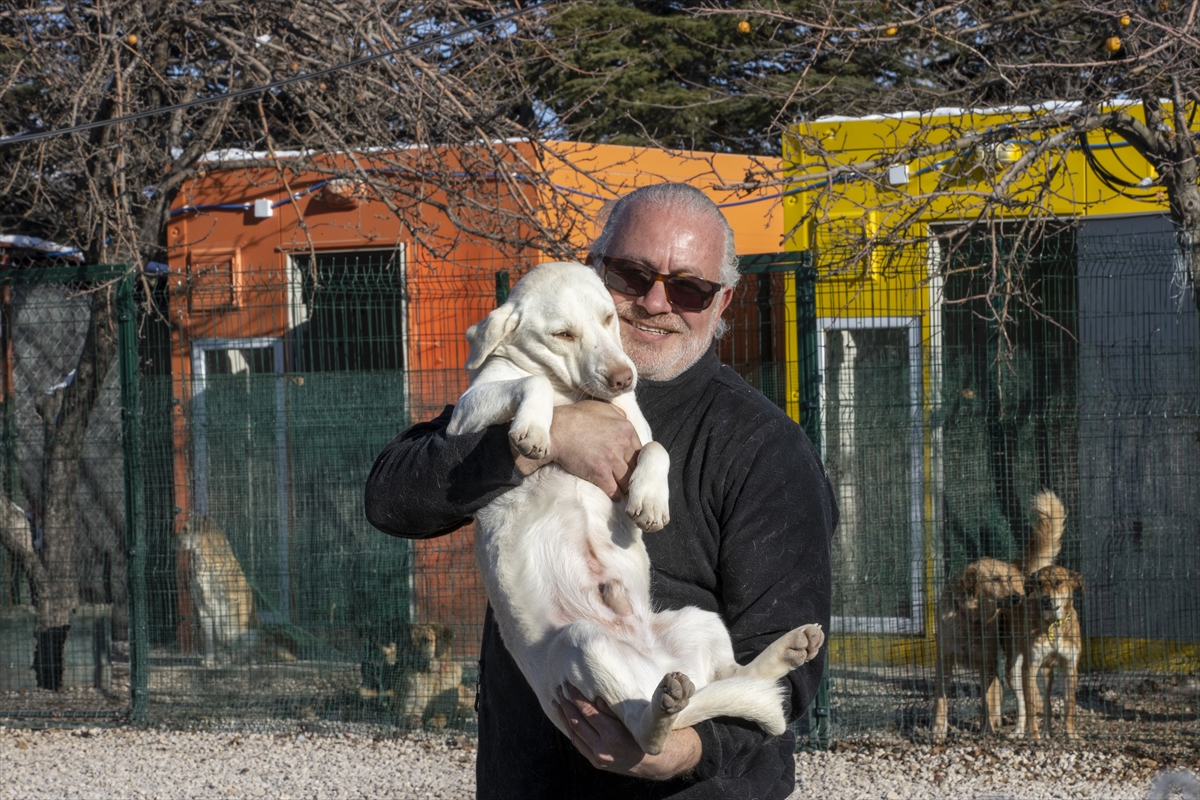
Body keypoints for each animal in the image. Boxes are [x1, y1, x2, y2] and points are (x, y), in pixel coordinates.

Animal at [931, 491, 1065, 743]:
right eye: (993, 580)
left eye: (1008, 580)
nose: (1016, 597)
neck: (971, 620)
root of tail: (1015, 565)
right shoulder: (944, 662)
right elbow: (941, 701)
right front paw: (938, 730)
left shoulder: (988, 663)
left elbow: (987, 701)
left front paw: (987, 730)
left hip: (1012, 664)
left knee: (1026, 695)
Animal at [1008, 566, 1084, 743]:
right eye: (1039, 583)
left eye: (1059, 582)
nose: (1045, 600)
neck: (1054, 625)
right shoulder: (1029, 668)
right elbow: (1030, 707)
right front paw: (1034, 736)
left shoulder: (1070, 669)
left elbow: (1070, 706)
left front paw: (1072, 735)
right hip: (1013, 672)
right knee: (1022, 703)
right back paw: (1019, 731)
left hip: (1046, 674)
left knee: (1048, 702)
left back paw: (1047, 731)